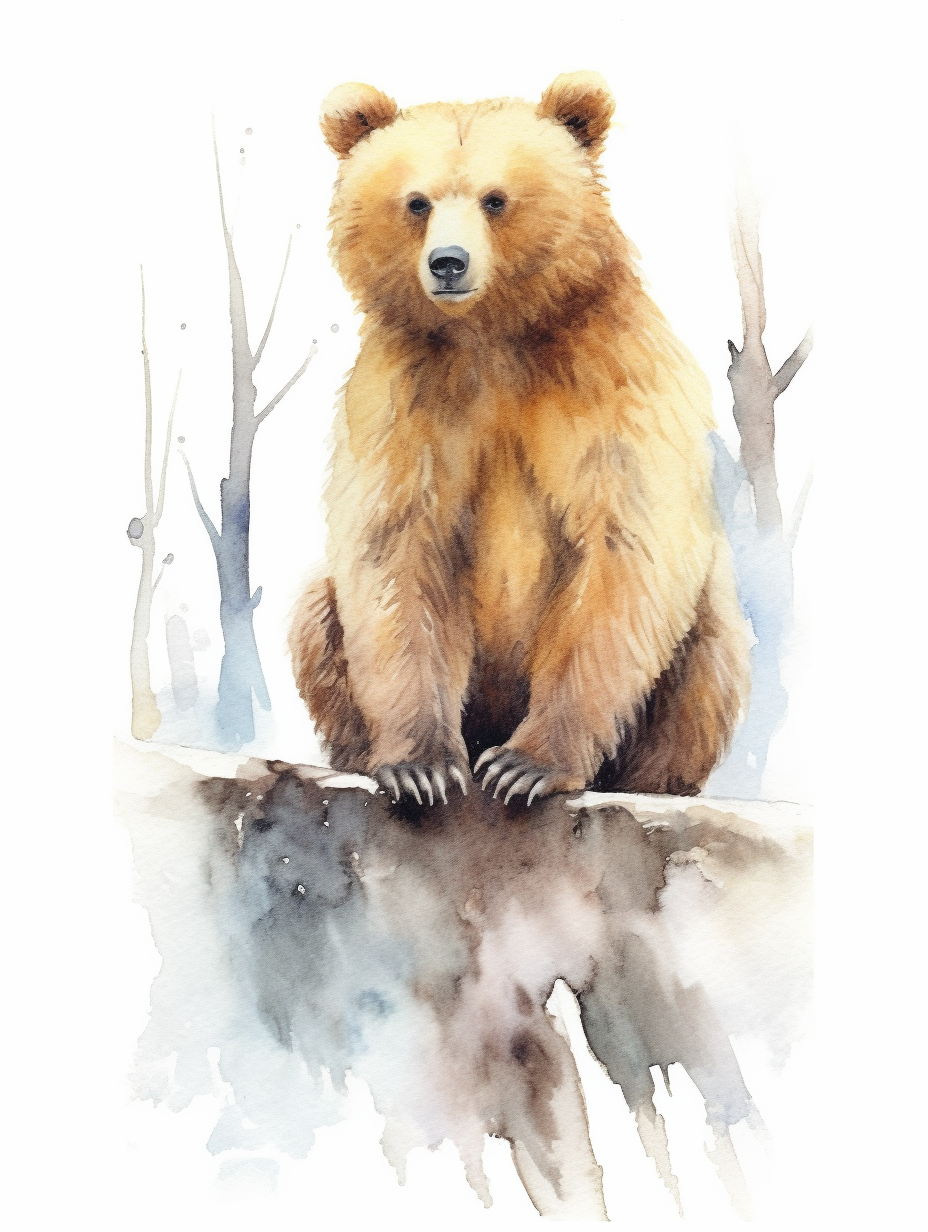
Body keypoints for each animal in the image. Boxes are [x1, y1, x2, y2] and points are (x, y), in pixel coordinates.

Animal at [289, 72, 750, 807]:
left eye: (495, 198)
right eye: (416, 201)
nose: (448, 262)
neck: (493, 337)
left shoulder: (610, 387)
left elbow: (624, 551)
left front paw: (527, 765)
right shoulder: (408, 401)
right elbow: (395, 550)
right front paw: (420, 764)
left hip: (703, 644)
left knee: (708, 645)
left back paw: (654, 782)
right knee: (316, 609)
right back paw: (363, 752)